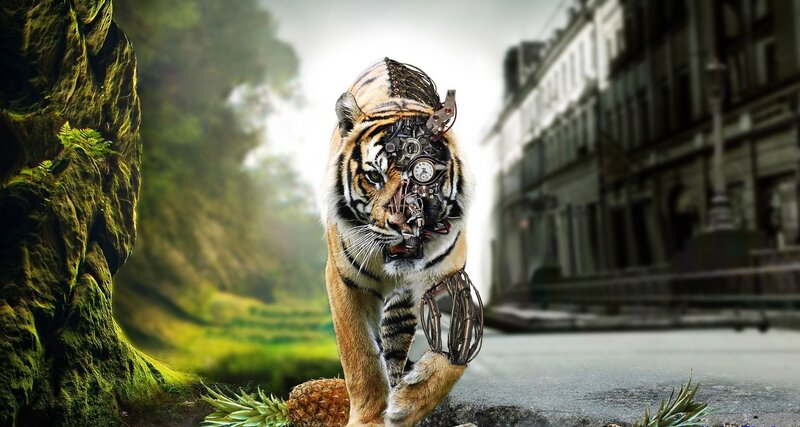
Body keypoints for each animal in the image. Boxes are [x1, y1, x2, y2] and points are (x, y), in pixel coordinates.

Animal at [322, 57, 474, 426]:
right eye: (374, 176)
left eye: (424, 174)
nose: (404, 223)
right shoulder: (344, 281)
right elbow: (360, 356)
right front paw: (367, 418)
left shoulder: (449, 281)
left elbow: (453, 353)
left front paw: (409, 401)